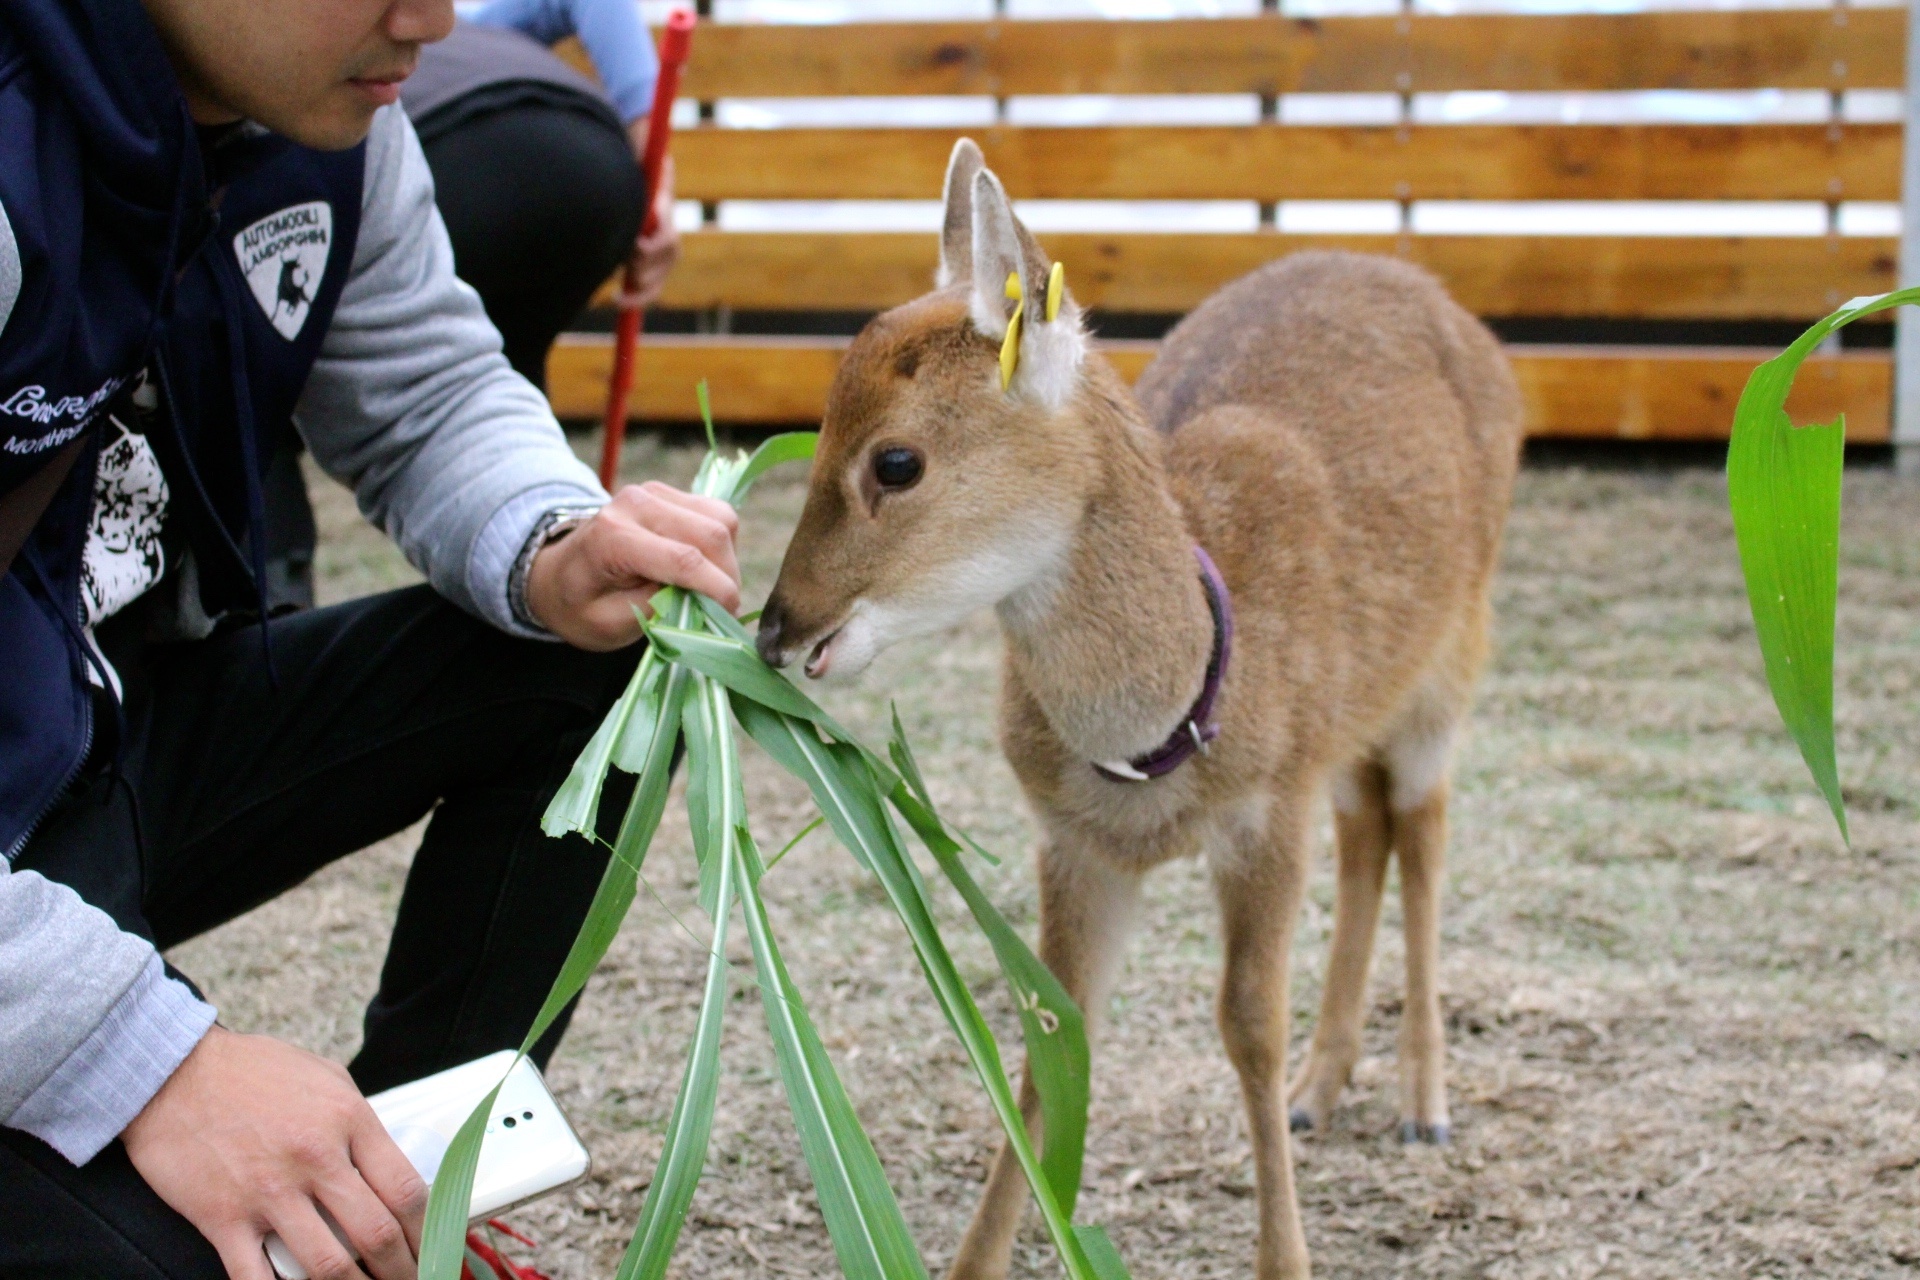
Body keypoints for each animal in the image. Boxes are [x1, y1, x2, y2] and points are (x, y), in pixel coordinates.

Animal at [754, 139, 1523, 1279]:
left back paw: (1422, 1103)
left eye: (896, 459)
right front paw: (979, 1258)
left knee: (1424, 829)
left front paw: (1284, 1257)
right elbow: (1051, 1028)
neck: (1168, 729)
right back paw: (1321, 1088)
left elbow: (1248, 1022)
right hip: (1351, 718)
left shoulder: (1267, 809)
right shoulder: (1077, 839)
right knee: (1369, 827)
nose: (775, 626)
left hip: (1454, 654)